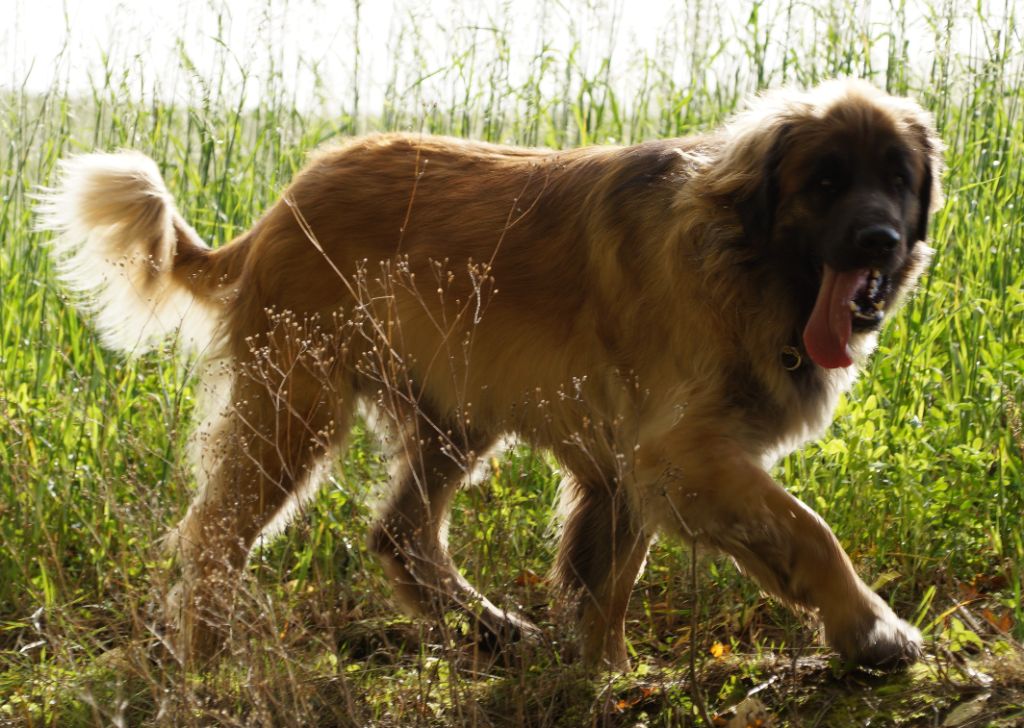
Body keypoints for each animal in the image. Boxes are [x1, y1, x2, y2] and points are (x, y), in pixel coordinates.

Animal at [39, 81, 942, 671]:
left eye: (897, 179)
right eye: (825, 181)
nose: (881, 242)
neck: (747, 256)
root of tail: (280, 208)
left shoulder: (631, 461)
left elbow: (608, 577)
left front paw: (601, 671)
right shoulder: (681, 452)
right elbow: (808, 530)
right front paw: (872, 628)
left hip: (452, 418)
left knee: (401, 534)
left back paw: (492, 630)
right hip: (297, 407)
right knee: (216, 535)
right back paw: (207, 657)